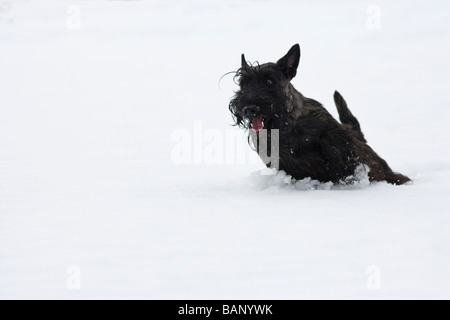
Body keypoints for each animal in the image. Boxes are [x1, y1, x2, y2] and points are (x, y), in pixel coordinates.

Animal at [230, 44, 410, 185]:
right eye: (242, 84)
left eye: (269, 82)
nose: (248, 109)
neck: (284, 124)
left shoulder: (337, 134)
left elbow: (333, 141)